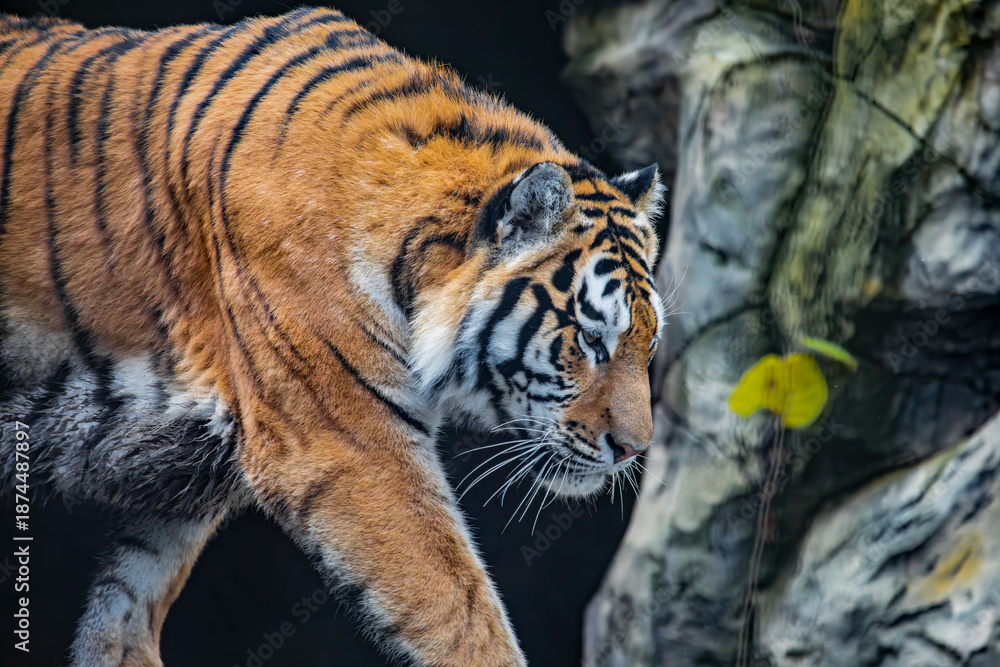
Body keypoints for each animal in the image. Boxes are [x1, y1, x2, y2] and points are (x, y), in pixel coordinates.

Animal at [0, 6, 665, 666]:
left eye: (647, 347)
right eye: (590, 339)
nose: (634, 451)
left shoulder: (179, 485)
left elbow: (122, 621)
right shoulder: (347, 445)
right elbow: (461, 614)